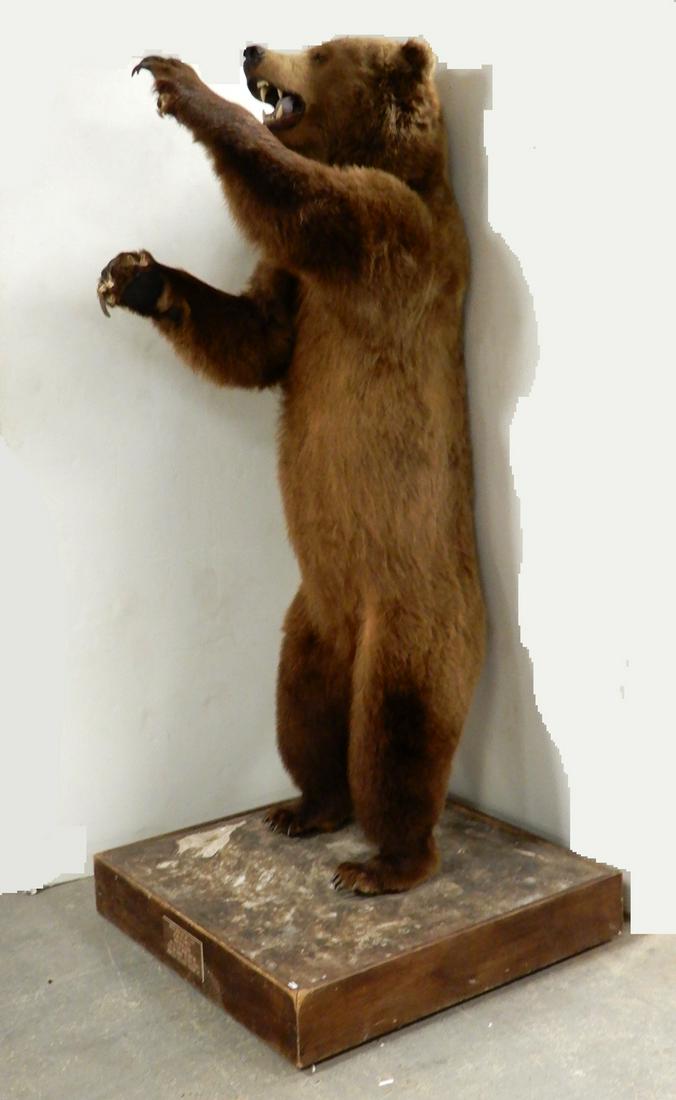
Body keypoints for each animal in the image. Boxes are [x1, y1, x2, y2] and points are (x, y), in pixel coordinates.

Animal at [97, 36, 486, 895]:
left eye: (325, 48)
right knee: (301, 711)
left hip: (412, 611)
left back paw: (385, 863)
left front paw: (178, 83)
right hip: (312, 619)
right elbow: (255, 335)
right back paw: (307, 807)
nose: (249, 48)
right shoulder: (298, 297)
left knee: (399, 733)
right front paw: (134, 273)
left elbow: (309, 205)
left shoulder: (395, 239)